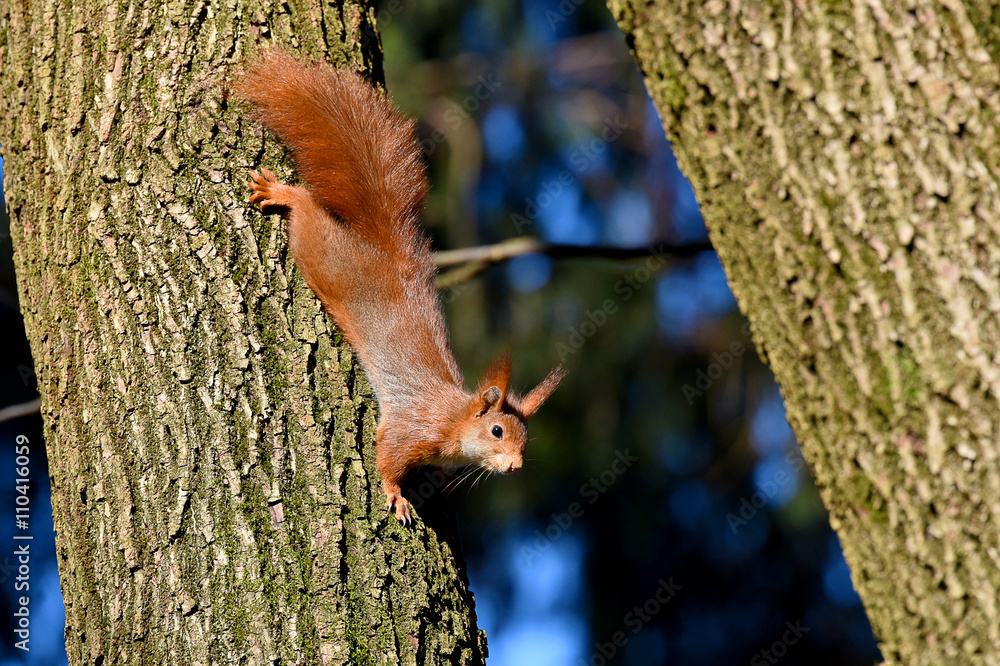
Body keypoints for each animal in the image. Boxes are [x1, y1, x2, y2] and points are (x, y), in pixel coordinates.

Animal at [234, 49, 564, 524]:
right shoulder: (412, 428)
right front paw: (396, 495)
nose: (516, 466)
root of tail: (385, 250)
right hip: (322, 252)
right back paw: (283, 192)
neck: (454, 419)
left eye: (525, 437)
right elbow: (388, 456)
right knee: (306, 211)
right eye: (497, 430)